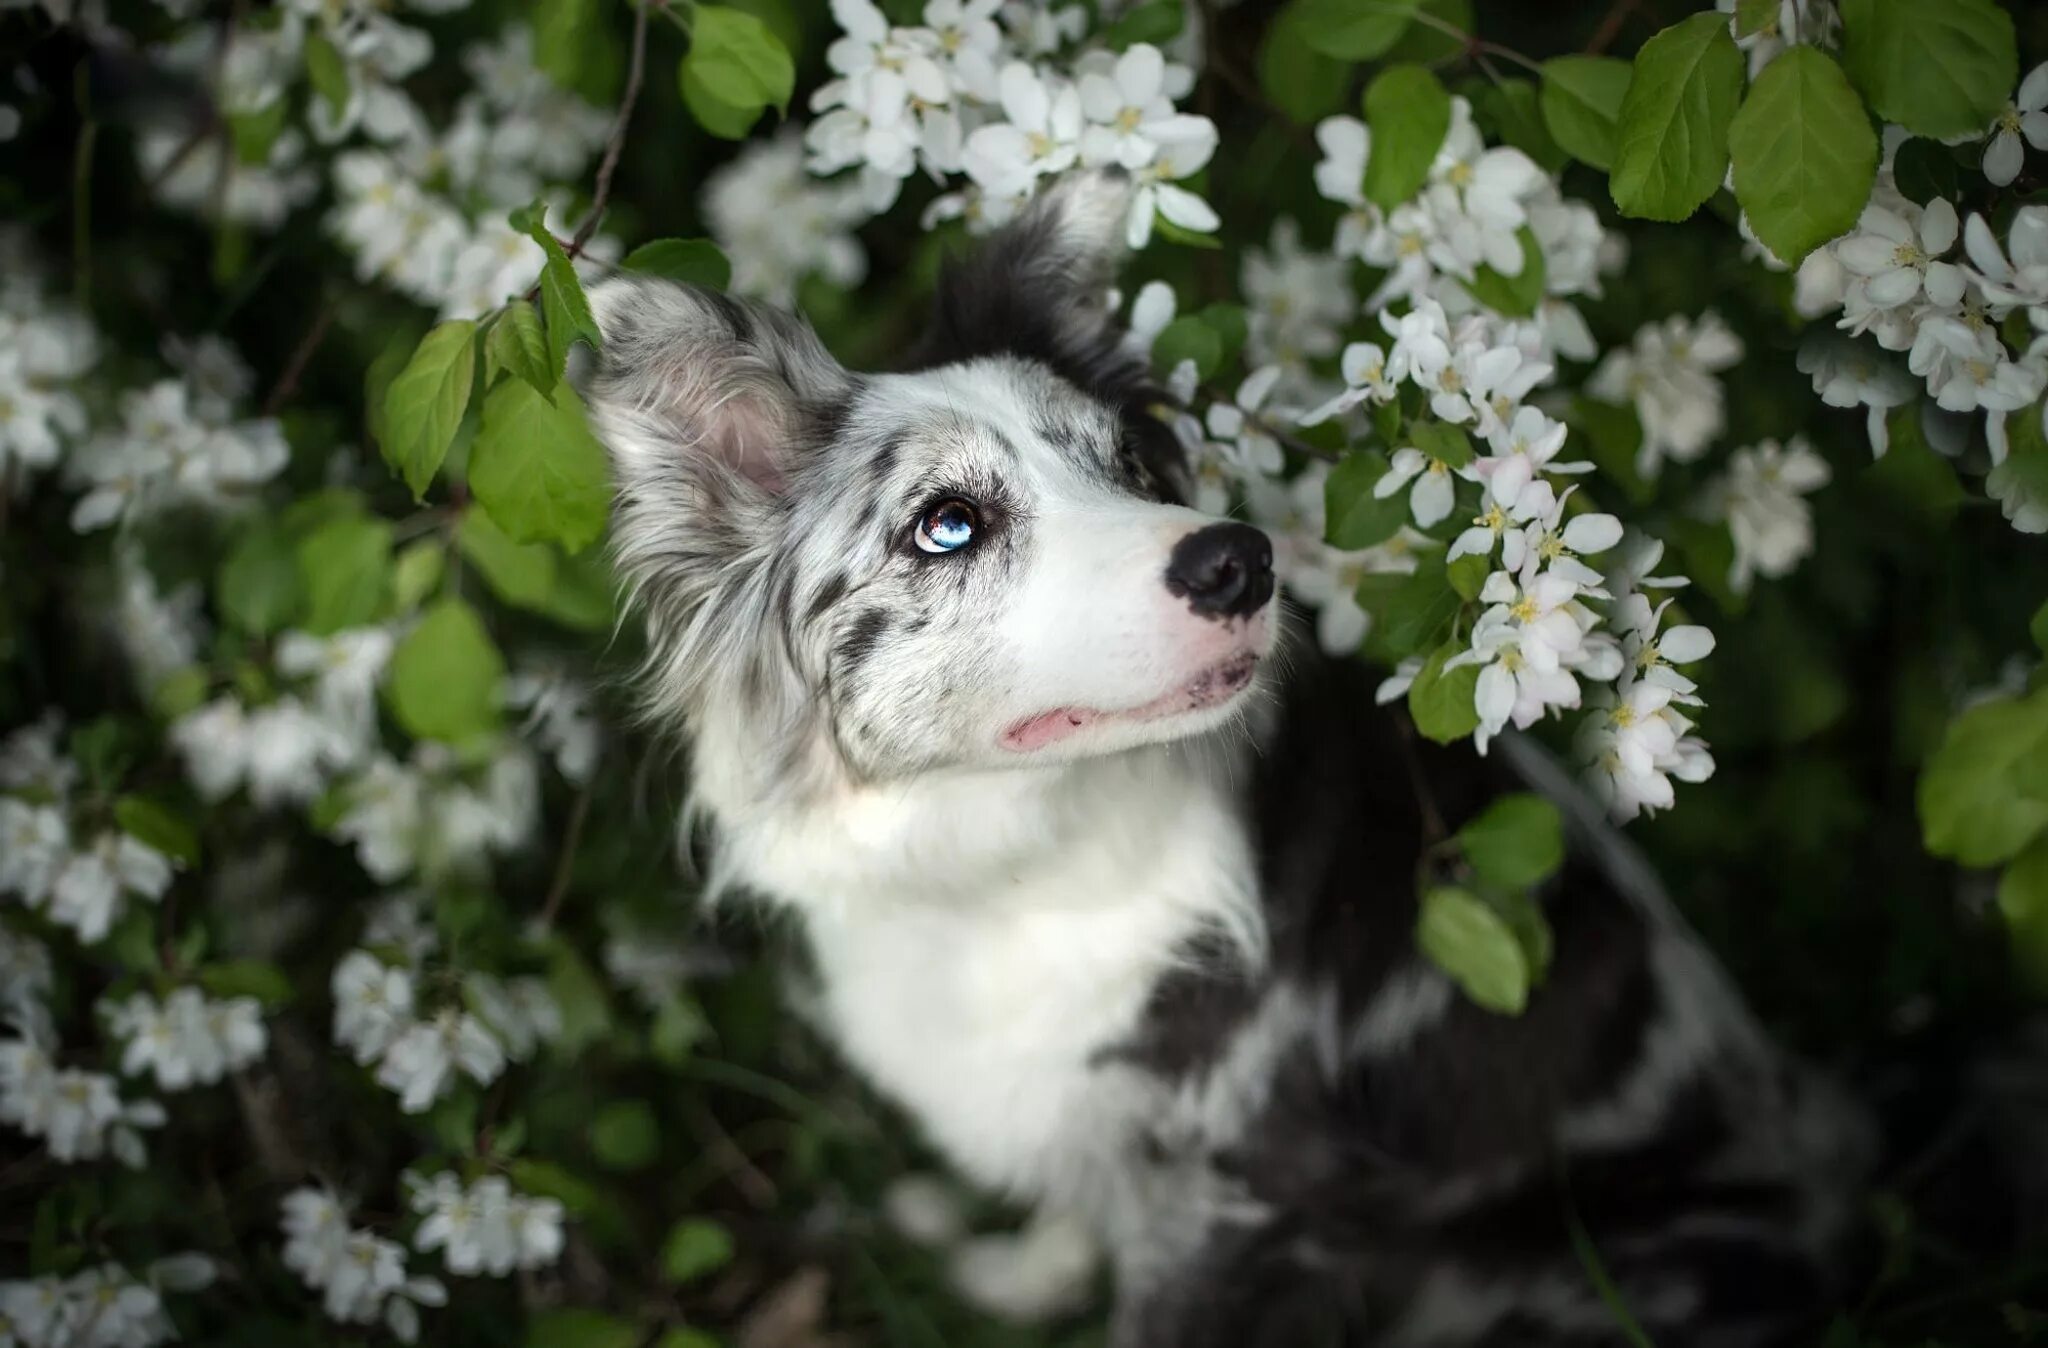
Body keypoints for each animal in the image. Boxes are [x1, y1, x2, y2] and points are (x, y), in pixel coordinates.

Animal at [577, 173, 1875, 1335]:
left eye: (1127, 467)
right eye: (946, 524)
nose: (1238, 560)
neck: (1008, 860)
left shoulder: (1238, 1200)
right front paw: (1023, 1277)